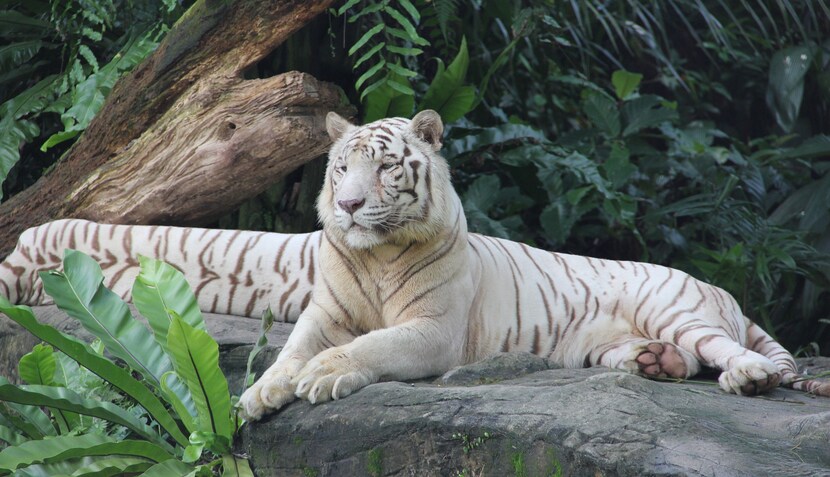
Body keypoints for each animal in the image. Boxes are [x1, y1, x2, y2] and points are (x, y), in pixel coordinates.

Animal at [1, 111, 827, 422]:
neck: (371, 257)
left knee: (726, 351)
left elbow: (365, 346)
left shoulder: (431, 329)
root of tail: (719, 288)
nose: (349, 205)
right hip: (614, 340)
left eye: (385, 167)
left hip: (678, 304)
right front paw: (259, 395)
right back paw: (654, 365)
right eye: (340, 167)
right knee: (676, 357)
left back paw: (747, 377)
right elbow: (287, 353)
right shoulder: (319, 311)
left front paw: (320, 379)